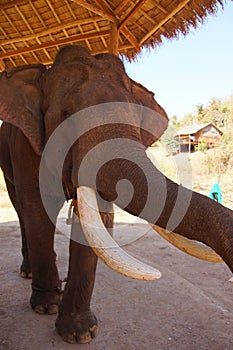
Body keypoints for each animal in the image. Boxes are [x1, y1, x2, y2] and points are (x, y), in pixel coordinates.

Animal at [0, 44, 232, 344]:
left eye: (136, 119)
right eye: (66, 114)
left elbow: (95, 218)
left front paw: (81, 333)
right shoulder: (26, 146)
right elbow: (38, 211)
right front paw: (46, 306)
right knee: (21, 210)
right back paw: (29, 275)